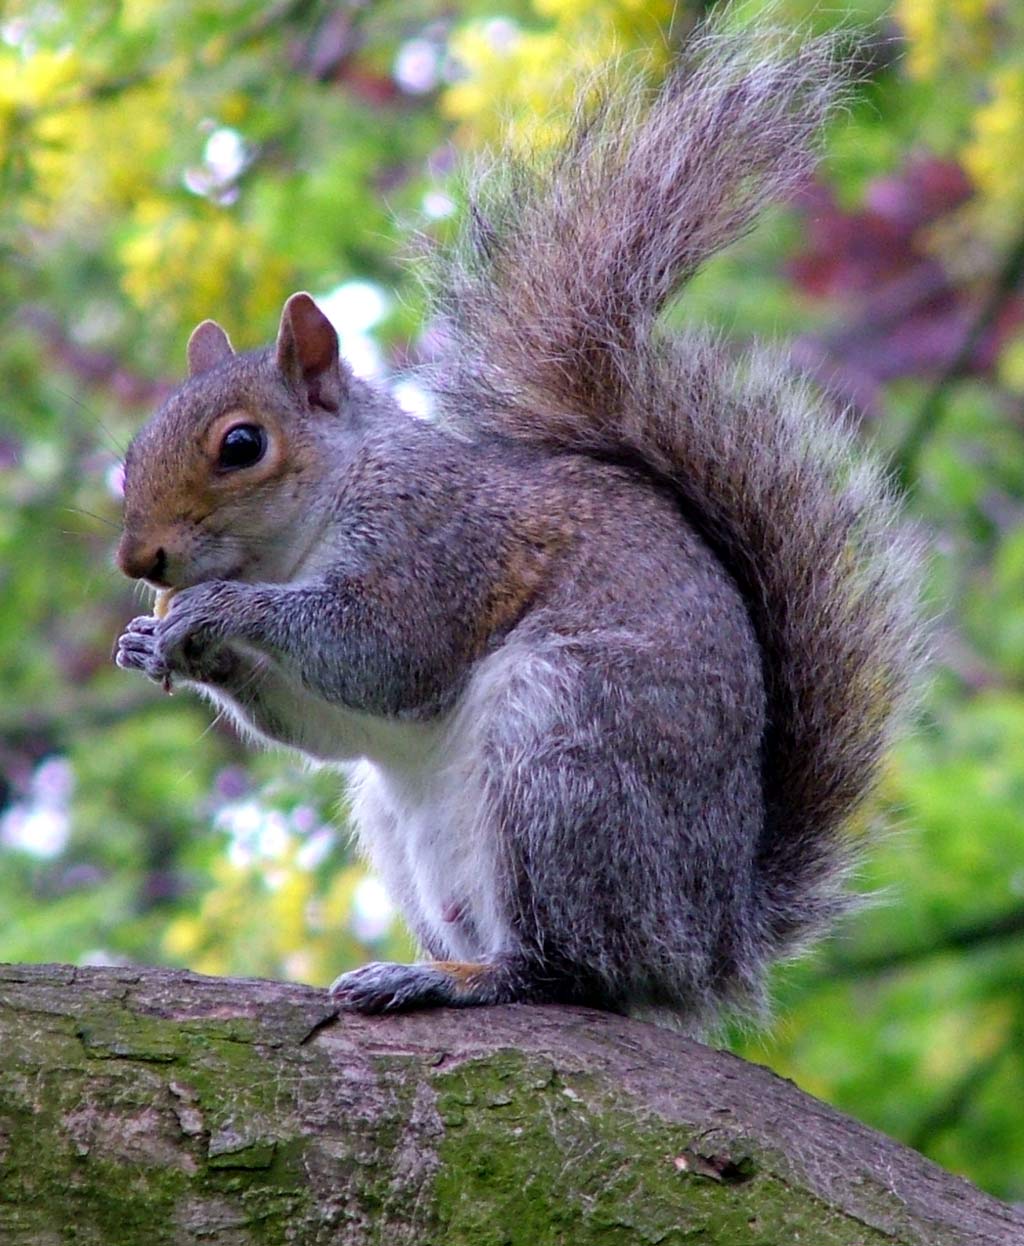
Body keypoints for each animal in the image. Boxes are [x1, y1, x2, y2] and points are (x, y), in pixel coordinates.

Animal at [116, 29, 926, 1026]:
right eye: (135, 446)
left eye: (241, 445)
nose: (138, 556)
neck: (320, 515)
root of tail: (710, 941)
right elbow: (332, 725)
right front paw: (153, 645)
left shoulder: (439, 543)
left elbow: (386, 652)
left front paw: (220, 611)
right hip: (412, 821)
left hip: (561, 754)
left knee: (567, 970)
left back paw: (454, 978)